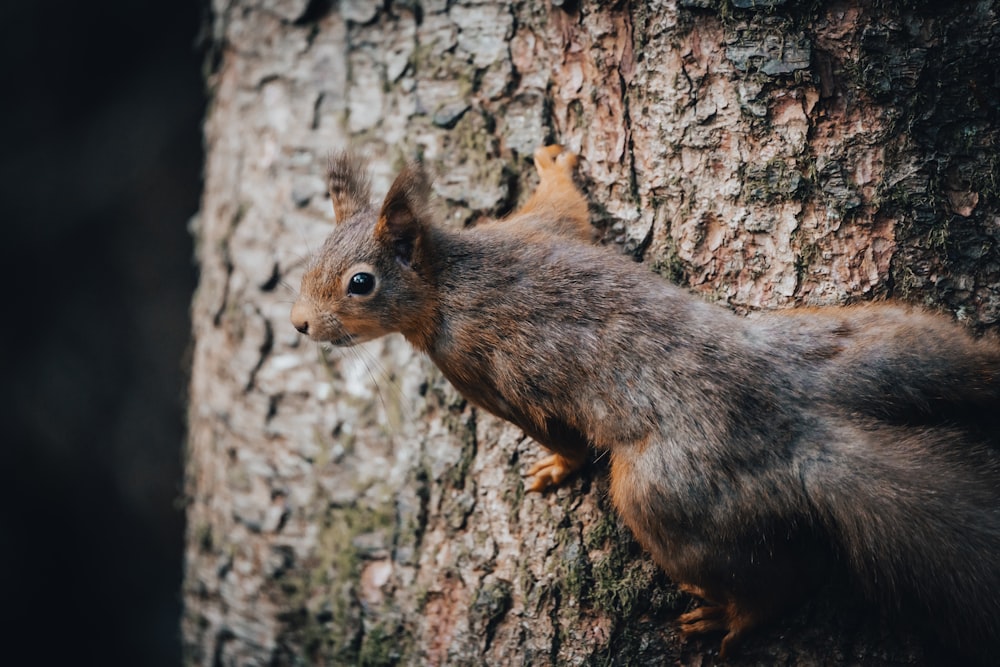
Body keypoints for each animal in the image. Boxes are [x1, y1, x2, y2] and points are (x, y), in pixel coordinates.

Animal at [290, 144, 1000, 660]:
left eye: (361, 284)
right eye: (307, 263)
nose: (298, 324)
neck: (451, 274)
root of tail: (807, 432)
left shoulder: (478, 369)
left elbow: (557, 435)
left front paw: (555, 468)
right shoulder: (538, 228)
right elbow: (567, 206)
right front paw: (553, 161)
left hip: (666, 496)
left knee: (768, 582)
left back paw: (733, 619)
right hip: (888, 343)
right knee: (959, 364)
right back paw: (989, 357)